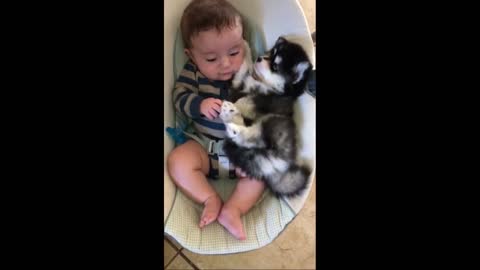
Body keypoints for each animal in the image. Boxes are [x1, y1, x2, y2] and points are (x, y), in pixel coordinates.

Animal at [219, 37, 314, 196]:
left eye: (275, 66)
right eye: (270, 53)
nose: (259, 58)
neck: (262, 82)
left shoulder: (269, 100)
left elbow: (247, 101)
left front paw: (238, 104)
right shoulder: (240, 82)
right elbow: (244, 67)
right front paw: (246, 49)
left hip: (273, 124)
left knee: (255, 138)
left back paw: (233, 122)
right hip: (249, 152)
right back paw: (230, 116)